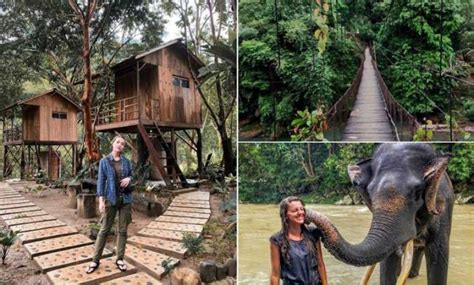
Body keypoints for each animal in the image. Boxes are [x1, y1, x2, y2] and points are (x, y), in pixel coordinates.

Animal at [306, 143, 454, 284]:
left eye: (418, 192)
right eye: (370, 192)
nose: (307, 217)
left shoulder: (444, 207)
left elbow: (438, 256)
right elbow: (388, 262)